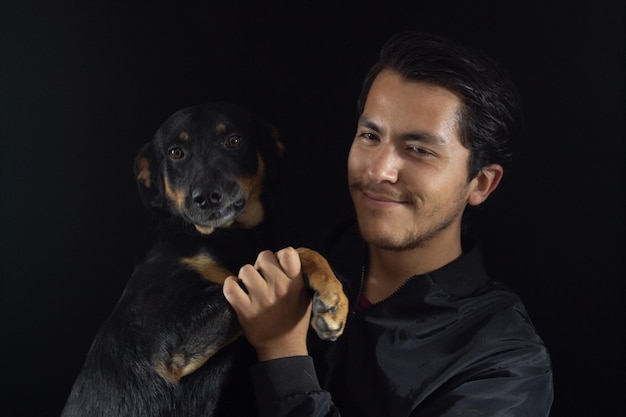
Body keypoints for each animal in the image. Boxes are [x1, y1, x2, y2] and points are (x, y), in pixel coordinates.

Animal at [59, 101, 346, 416]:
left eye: (234, 141)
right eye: (176, 153)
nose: (206, 197)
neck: (221, 235)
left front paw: (334, 296)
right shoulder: (168, 341)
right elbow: (273, 259)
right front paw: (333, 296)